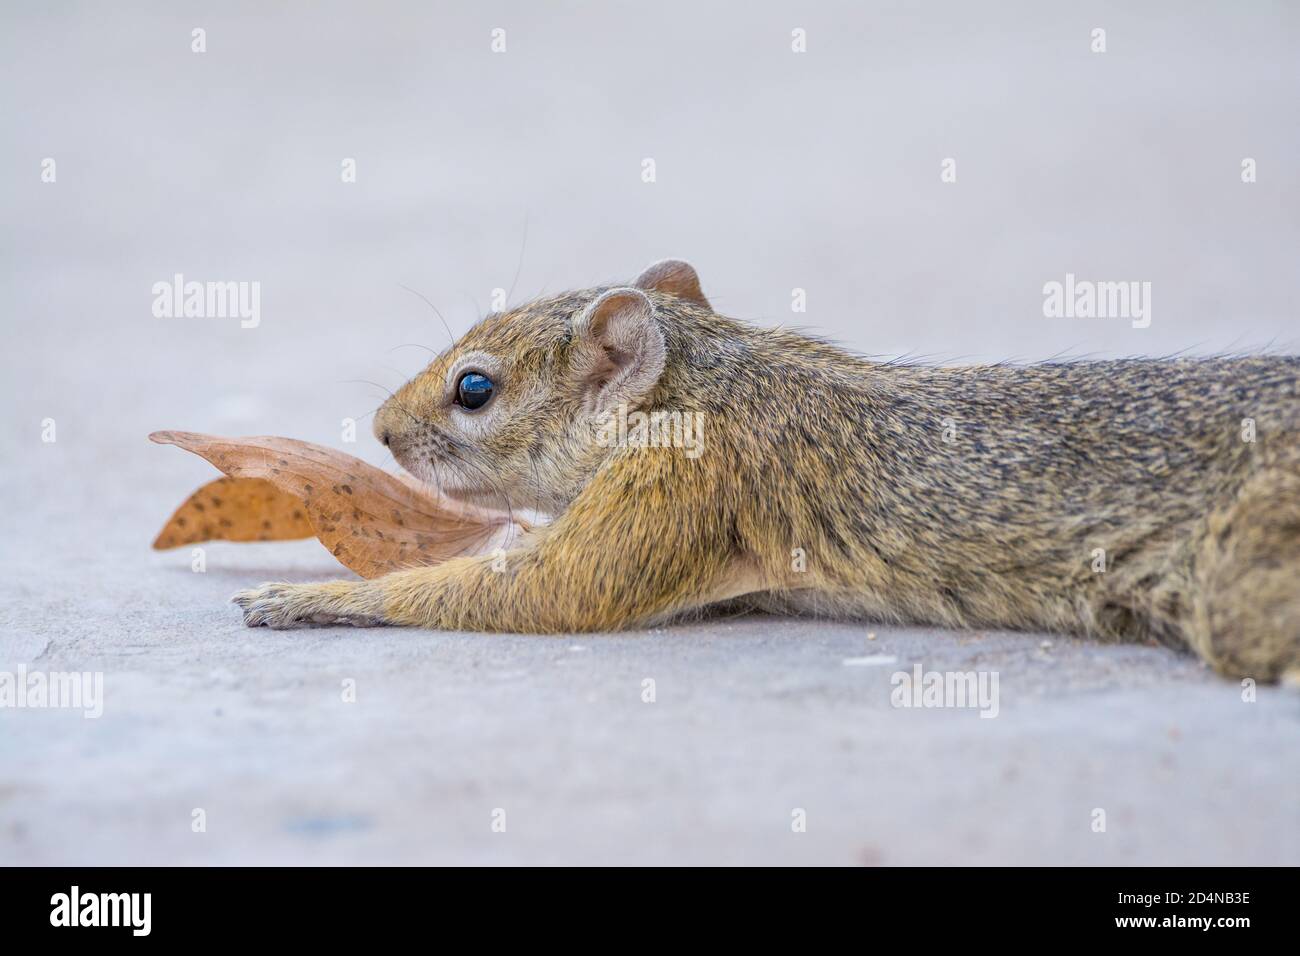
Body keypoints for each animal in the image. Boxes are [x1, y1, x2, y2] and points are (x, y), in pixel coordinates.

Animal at [233, 260, 1300, 681]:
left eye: (475, 388)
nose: (379, 431)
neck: (706, 382)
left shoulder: (685, 481)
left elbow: (556, 587)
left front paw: (312, 599)